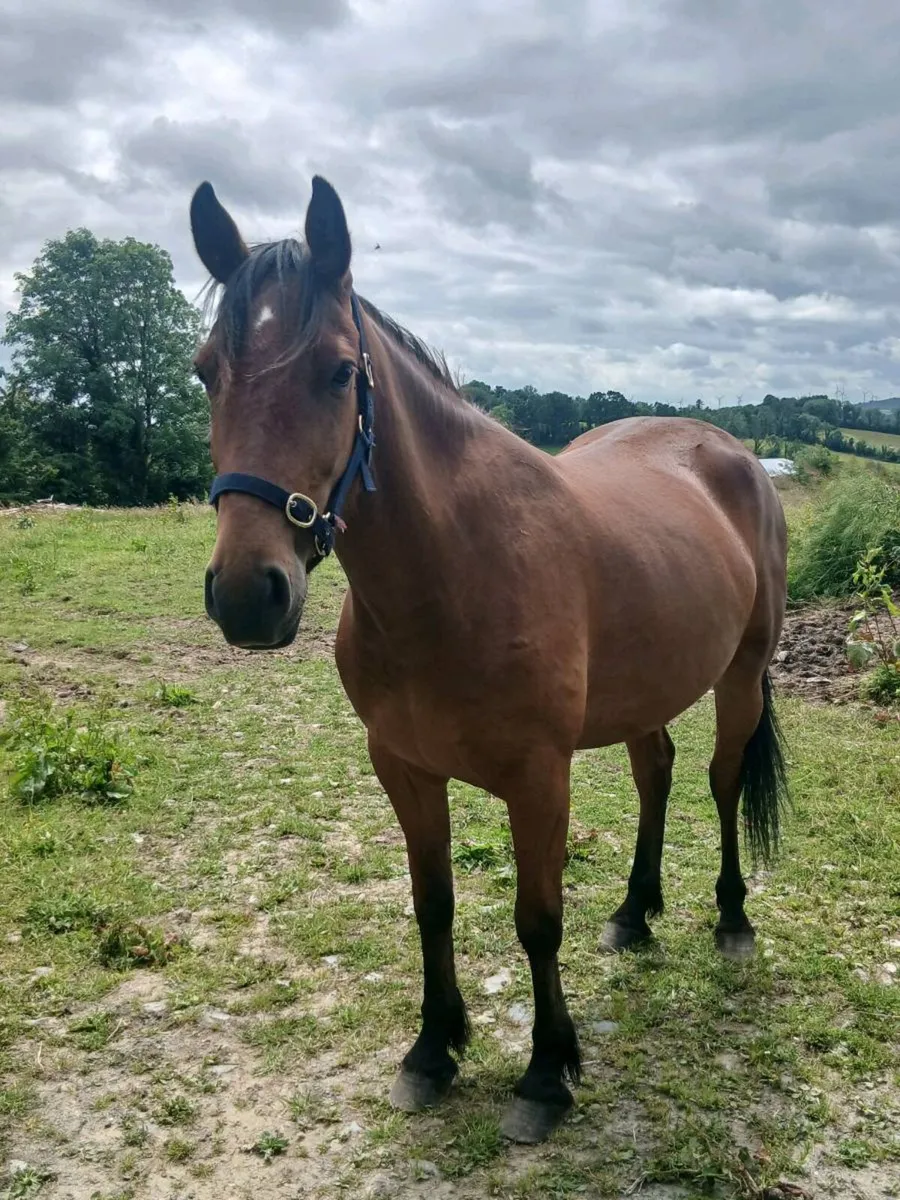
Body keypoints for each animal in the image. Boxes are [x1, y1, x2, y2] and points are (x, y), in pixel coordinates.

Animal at [189, 175, 789, 1144]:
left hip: (738, 677)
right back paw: (634, 912)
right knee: (656, 774)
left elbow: (537, 920)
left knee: (721, 779)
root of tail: (732, 455)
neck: (455, 570)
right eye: (207, 370)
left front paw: (546, 1074)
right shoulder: (402, 768)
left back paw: (730, 919)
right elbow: (432, 904)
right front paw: (433, 1050)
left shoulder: (539, 777)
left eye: (339, 371)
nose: (249, 593)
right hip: (647, 691)